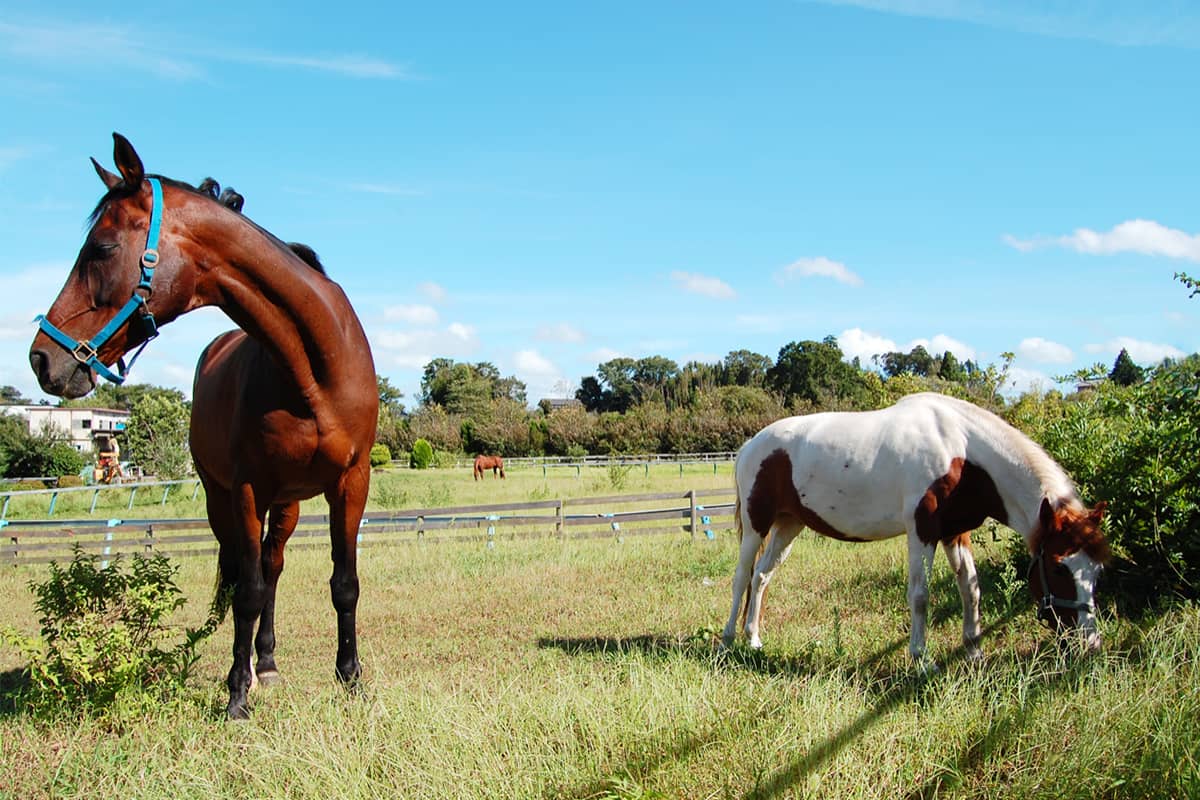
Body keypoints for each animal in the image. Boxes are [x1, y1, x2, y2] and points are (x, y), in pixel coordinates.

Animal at [29, 134, 379, 719]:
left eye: (100, 248)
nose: (41, 359)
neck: (315, 367)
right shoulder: (245, 489)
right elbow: (247, 592)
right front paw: (237, 694)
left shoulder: (351, 482)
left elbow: (344, 583)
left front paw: (350, 677)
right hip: (227, 498)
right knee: (247, 573)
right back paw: (254, 670)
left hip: (285, 502)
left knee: (272, 564)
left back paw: (268, 662)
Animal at [723, 392, 1110, 662]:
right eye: (1059, 567)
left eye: (1097, 569)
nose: (1091, 643)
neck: (961, 452)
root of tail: (751, 445)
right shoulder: (921, 532)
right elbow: (920, 596)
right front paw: (922, 659)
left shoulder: (955, 533)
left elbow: (971, 589)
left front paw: (974, 652)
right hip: (757, 525)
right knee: (742, 577)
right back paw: (728, 640)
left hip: (789, 526)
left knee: (762, 577)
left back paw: (753, 639)